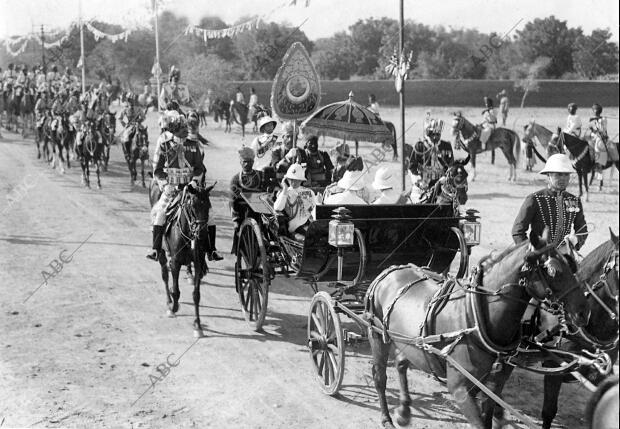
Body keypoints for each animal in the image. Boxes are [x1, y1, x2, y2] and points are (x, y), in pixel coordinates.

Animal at [148, 181, 216, 338]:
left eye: (208, 205)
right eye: (193, 206)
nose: (202, 234)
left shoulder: (198, 264)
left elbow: (196, 295)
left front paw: (197, 325)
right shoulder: (175, 263)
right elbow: (176, 290)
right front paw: (173, 308)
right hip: (161, 253)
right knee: (165, 275)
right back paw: (169, 302)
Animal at [366, 232, 588, 426]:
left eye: (572, 265)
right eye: (553, 271)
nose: (583, 313)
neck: (475, 317)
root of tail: (390, 270)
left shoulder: (492, 387)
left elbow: (488, 418)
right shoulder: (460, 389)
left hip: (409, 342)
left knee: (401, 363)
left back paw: (404, 411)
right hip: (376, 333)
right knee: (380, 376)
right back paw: (386, 417)